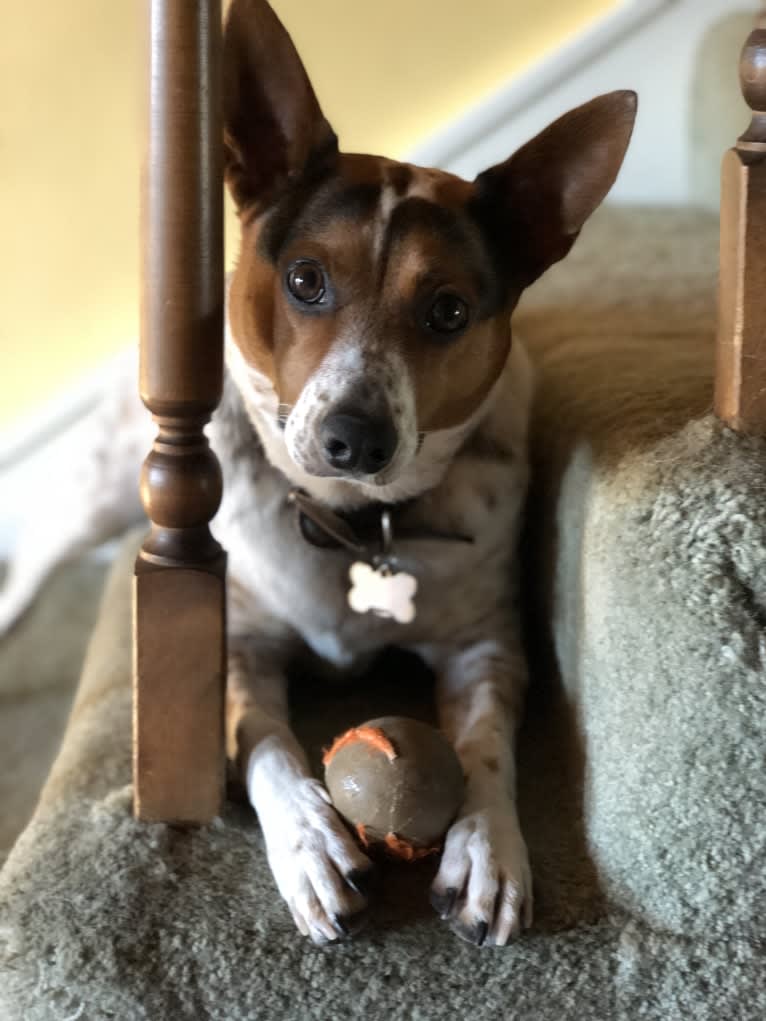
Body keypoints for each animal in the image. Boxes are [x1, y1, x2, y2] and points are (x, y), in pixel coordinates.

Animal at [0, 0, 637, 947]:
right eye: (304, 279)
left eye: (449, 310)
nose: (354, 438)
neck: (348, 517)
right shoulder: (235, 647)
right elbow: (268, 746)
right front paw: (309, 843)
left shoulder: (486, 645)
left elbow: (487, 747)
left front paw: (488, 848)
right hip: (103, 482)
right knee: (44, 543)